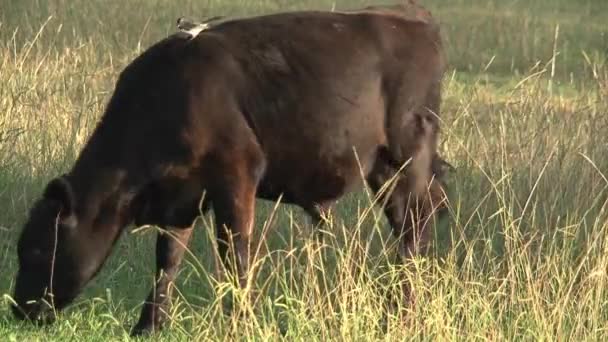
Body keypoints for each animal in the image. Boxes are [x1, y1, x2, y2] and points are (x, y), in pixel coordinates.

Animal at [11, 1, 448, 336]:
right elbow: (167, 260)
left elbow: (235, 255)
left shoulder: (237, 175)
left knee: (415, 231)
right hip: (384, 170)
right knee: (411, 229)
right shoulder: (181, 196)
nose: (18, 310)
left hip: (408, 159)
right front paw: (148, 326)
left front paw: (239, 322)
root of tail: (409, 14)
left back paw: (402, 313)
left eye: (38, 247)